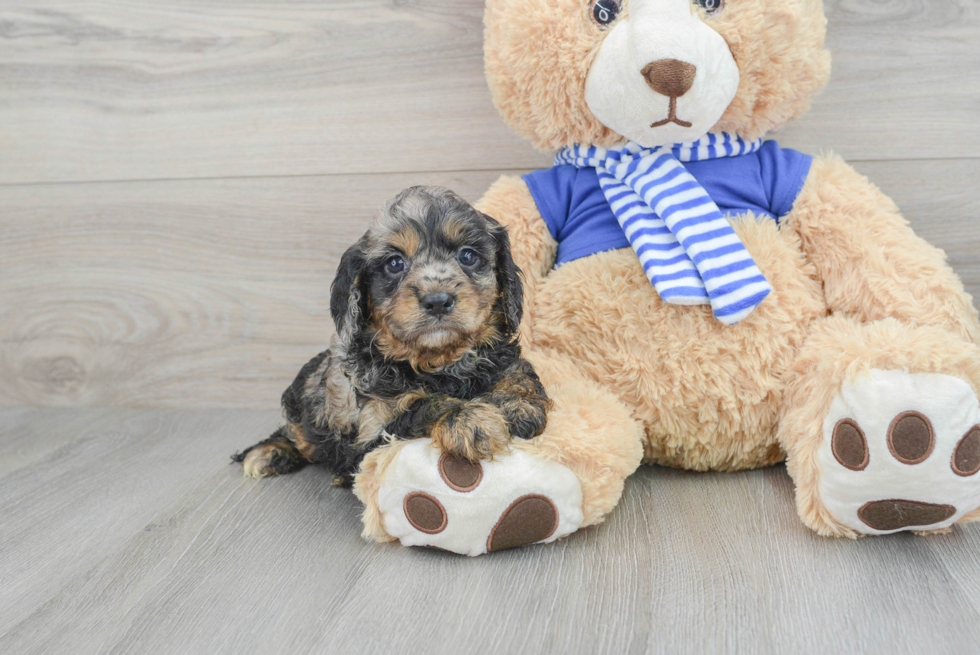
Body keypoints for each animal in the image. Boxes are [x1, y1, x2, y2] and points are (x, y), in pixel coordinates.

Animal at [232, 187, 552, 484]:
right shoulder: (372, 434)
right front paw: (470, 420)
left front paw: (518, 406)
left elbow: (518, 372)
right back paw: (270, 452)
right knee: (294, 434)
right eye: (395, 263)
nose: (438, 300)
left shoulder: (501, 358)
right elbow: (421, 406)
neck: (441, 364)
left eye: (468, 256)